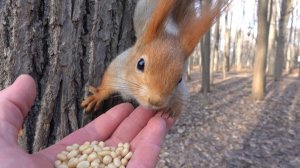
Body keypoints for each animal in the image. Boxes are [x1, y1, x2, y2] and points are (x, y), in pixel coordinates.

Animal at [81, 0, 229, 117]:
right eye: (140, 64)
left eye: (180, 79)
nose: (156, 101)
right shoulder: (119, 66)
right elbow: (108, 81)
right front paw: (97, 96)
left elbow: (181, 98)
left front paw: (172, 109)